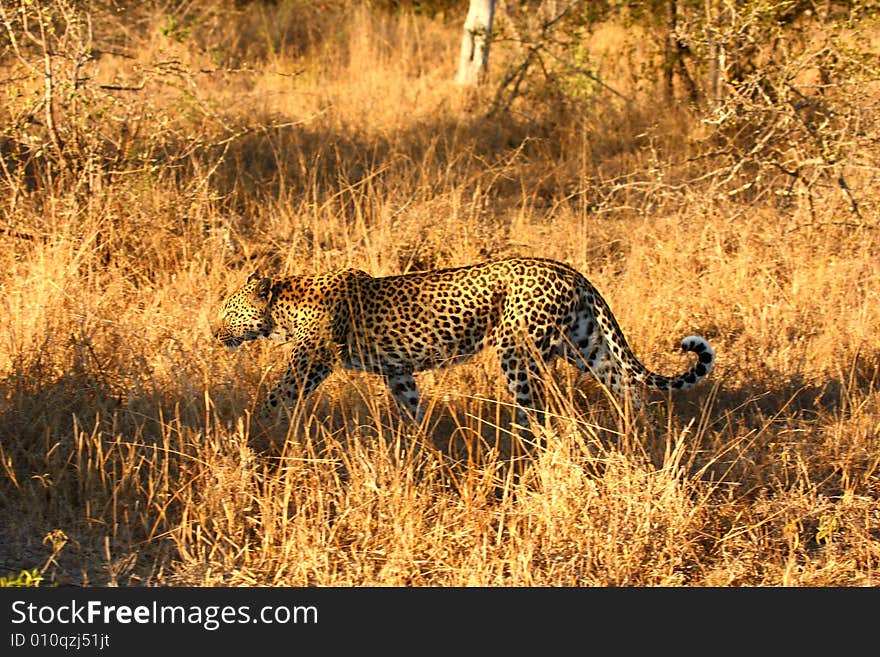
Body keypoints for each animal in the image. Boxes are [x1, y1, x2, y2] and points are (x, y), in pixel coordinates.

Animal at [213, 258, 716, 436]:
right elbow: (411, 406)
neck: (284, 307)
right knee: (628, 387)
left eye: (228, 311)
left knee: (535, 411)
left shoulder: (312, 362)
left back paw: (520, 450)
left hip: (519, 352)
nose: (214, 334)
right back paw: (644, 434)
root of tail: (571, 271)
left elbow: (277, 395)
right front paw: (419, 445)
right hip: (584, 345)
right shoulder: (398, 371)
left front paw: (258, 434)